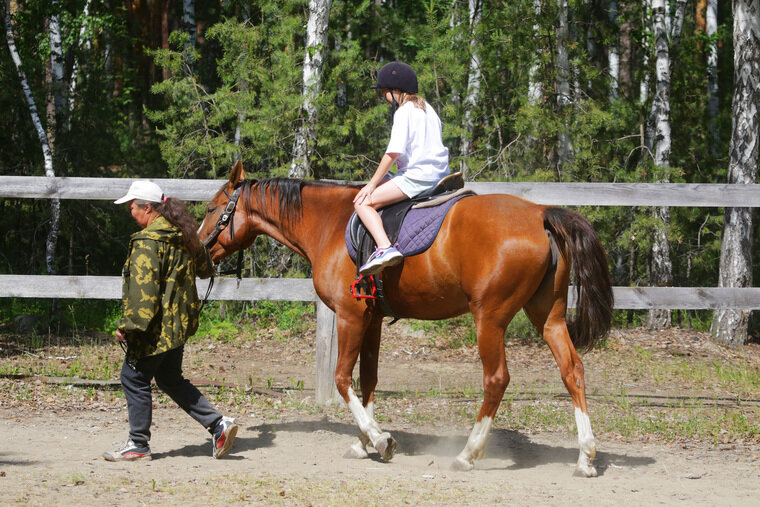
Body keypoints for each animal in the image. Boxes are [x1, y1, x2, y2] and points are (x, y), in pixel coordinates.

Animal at [200, 162, 612, 476]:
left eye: (211, 209)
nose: (200, 250)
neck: (329, 224)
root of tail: (540, 213)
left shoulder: (350, 317)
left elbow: (341, 378)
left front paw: (379, 439)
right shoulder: (373, 319)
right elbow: (367, 379)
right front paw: (364, 441)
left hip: (490, 319)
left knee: (496, 379)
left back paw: (468, 453)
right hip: (548, 316)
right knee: (573, 370)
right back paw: (585, 457)